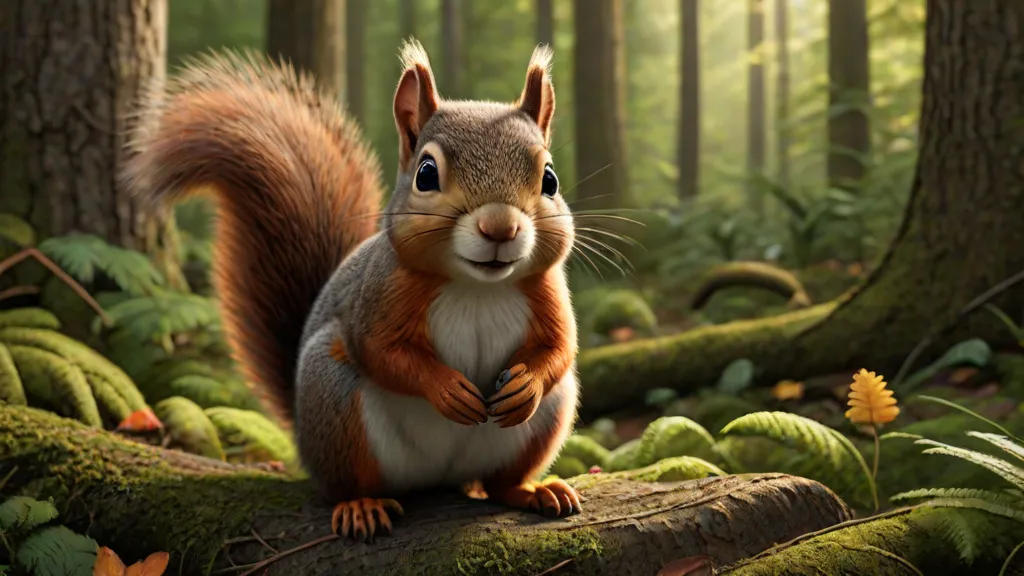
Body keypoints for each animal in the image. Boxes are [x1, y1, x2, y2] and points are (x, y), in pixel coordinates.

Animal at [125, 40, 581, 540]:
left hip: (548, 416)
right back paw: (361, 505)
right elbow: (381, 351)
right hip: (333, 398)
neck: (477, 287)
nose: (500, 227)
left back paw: (533, 490)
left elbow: (560, 348)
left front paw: (527, 385)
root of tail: (440, 478)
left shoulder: (548, 294)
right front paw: (446, 388)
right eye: (426, 174)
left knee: (501, 481)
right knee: (346, 481)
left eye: (550, 179)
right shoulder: (381, 294)